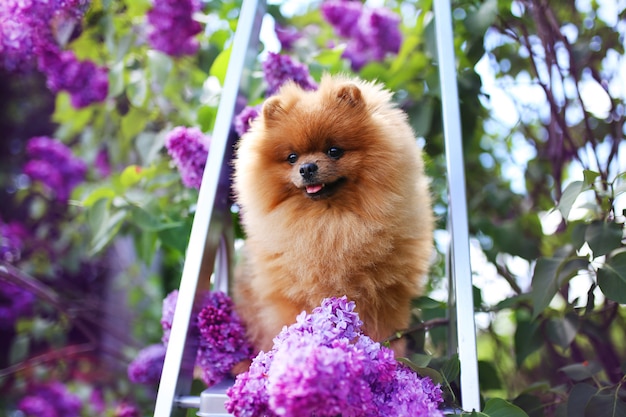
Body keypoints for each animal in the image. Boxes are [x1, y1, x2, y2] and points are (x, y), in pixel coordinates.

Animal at [232, 74, 432, 354]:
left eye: (334, 151)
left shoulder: (386, 298)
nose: (306, 168)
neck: (330, 223)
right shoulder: (289, 299)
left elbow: (385, 334)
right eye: (292, 157)